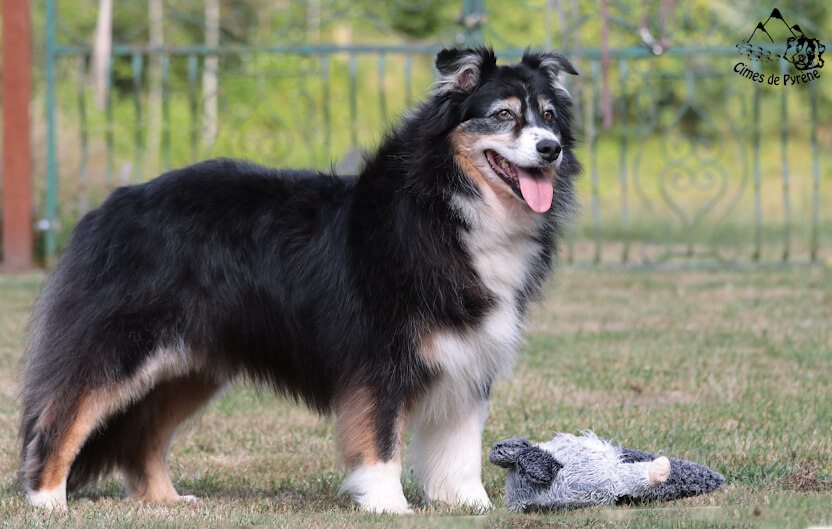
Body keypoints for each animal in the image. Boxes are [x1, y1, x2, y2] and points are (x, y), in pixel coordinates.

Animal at [19, 47, 579, 513]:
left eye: (550, 116)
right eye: (502, 115)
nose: (550, 149)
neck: (446, 206)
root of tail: (112, 204)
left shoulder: (468, 355)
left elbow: (460, 448)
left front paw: (471, 505)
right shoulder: (377, 357)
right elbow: (381, 439)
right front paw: (388, 505)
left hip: (190, 365)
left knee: (142, 435)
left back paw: (167, 500)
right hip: (123, 345)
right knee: (62, 414)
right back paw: (47, 500)